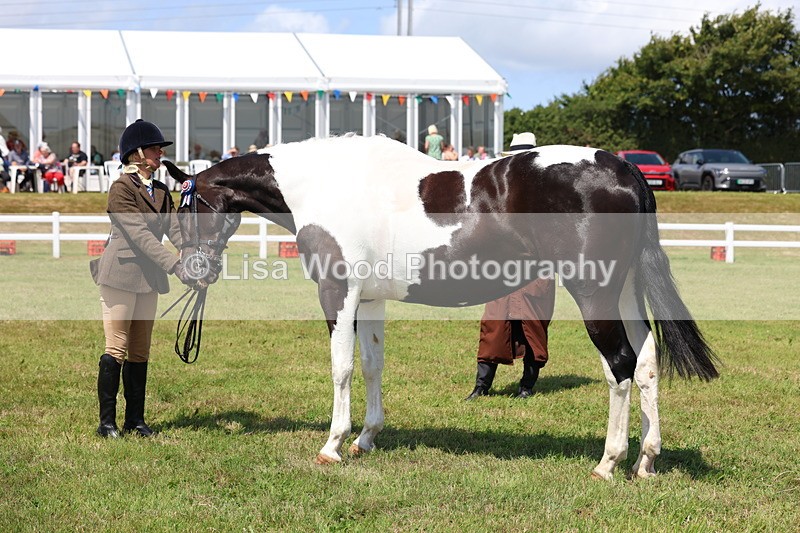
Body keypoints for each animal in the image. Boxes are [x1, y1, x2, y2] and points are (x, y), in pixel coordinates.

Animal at [164, 134, 718, 480]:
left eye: (183, 206)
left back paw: (608, 462)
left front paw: (332, 445)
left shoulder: (337, 292)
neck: (325, 185)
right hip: (623, 292)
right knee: (646, 363)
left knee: (620, 366)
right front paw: (366, 438)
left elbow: (341, 368)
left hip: (594, 293)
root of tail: (621, 167)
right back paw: (646, 461)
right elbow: (372, 365)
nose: (189, 270)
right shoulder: (370, 298)